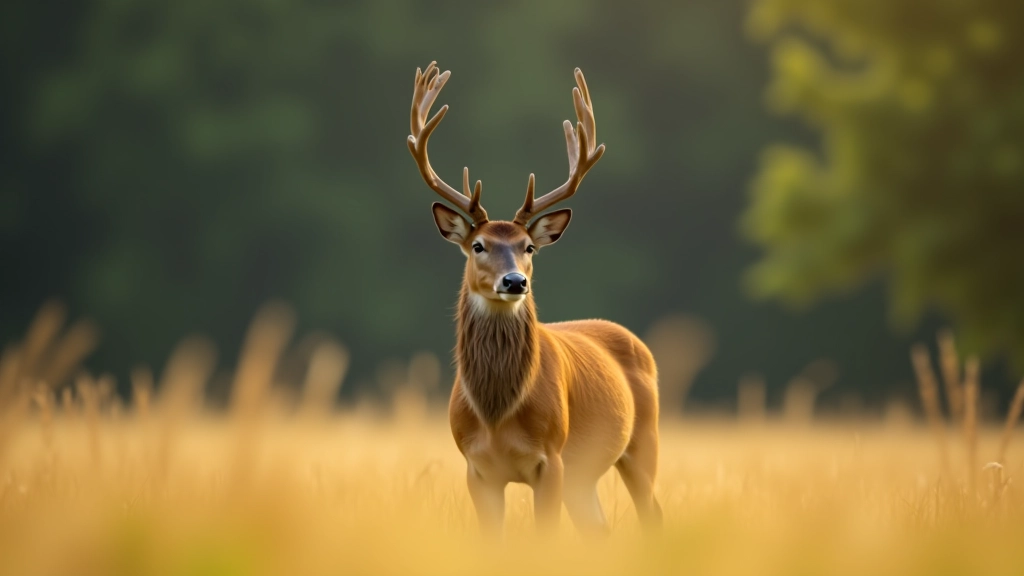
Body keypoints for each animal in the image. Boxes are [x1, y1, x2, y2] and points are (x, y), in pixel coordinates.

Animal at [407, 62, 662, 536]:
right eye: (478, 245)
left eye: (528, 247)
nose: (514, 282)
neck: (496, 416)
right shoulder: (475, 469)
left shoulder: (552, 459)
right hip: (585, 476)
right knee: (599, 529)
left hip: (642, 442)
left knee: (652, 513)